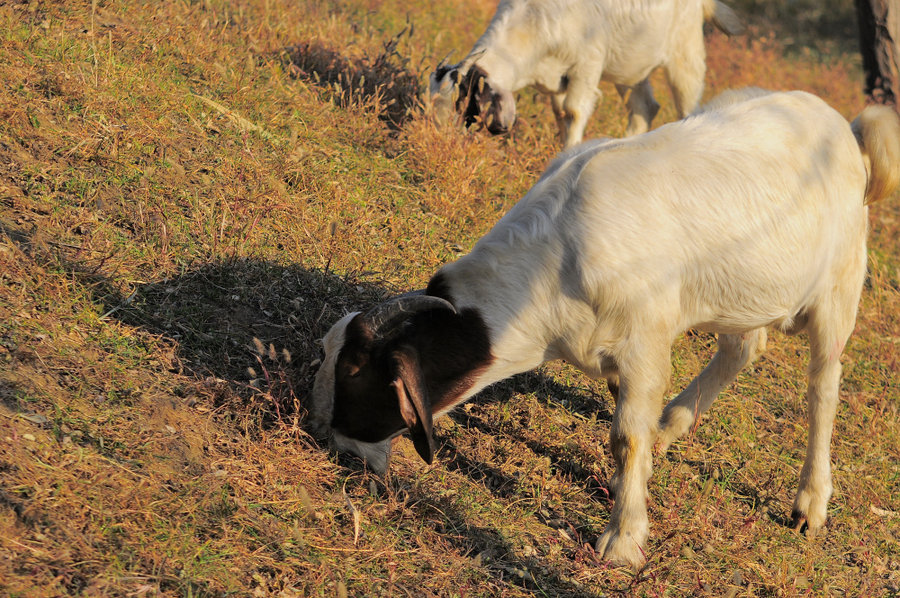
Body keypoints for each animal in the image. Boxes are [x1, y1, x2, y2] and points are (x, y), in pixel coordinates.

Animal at [310, 90, 900, 572]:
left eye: (356, 371)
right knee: (743, 345)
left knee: (823, 386)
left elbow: (625, 438)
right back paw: (673, 426)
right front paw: (631, 483)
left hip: (841, 283)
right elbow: (628, 424)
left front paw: (622, 539)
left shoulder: (644, 341)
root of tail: (844, 127)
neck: (554, 261)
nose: (333, 443)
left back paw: (809, 503)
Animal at [428, 0, 744, 148]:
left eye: (461, 104)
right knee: (644, 107)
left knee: (688, 105)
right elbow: (560, 114)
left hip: (685, 53)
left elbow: (574, 112)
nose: (444, 141)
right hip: (629, 66)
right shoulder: (556, 79)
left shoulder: (587, 65)